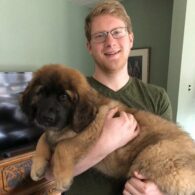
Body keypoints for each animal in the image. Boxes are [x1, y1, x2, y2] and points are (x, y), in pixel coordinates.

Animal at [20, 64, 195, 193]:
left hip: (153, 154)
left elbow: (63, 146)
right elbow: (42, 139)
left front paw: (62, 177)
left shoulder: (91, 132)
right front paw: (37, 166)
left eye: (63, 97)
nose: (45, 118)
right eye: (41, 93)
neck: (67, 125)